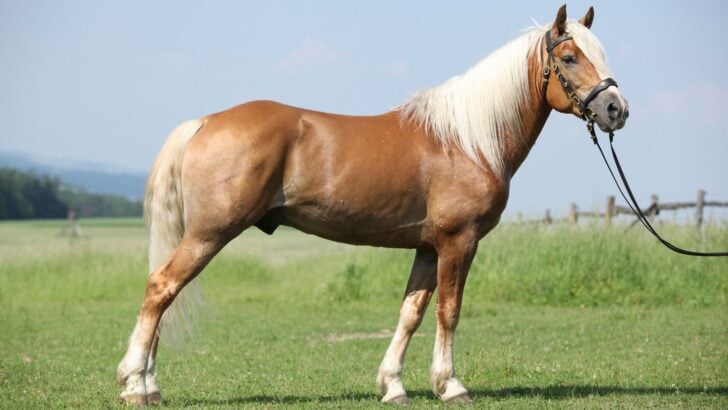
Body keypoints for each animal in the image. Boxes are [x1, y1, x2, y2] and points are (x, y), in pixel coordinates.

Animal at [116, 4, 629, 405]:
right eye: (569, 57)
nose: (616, 110)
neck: (468, 140)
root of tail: (203, 122)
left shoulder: (427, 247)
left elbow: (411, 313)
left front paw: (393, 385)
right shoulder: (458, 242)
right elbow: (449, 310)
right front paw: (451, 385)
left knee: (165, 294)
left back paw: (148, 384)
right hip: (210, 233)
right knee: (161, 288)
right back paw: (135, 384)